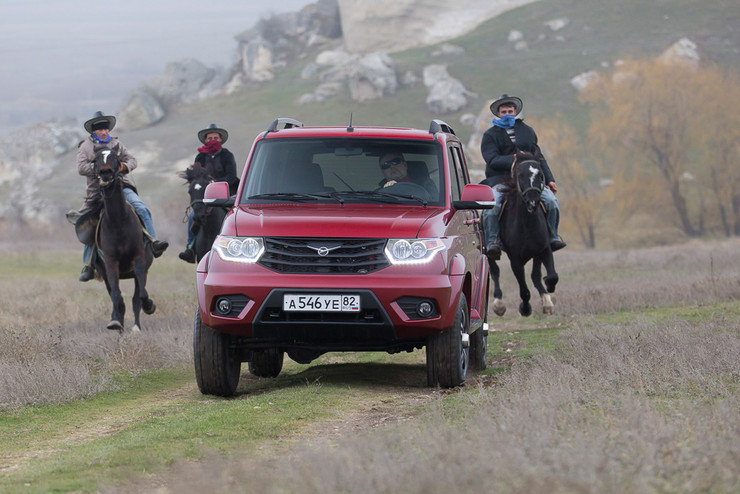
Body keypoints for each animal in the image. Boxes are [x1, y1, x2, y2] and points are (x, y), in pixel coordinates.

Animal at [92, 146, 156, 332]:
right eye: (96, 159)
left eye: (116, 157)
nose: (105, 172)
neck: (118, 221)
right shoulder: (110, 263)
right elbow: (117, 296)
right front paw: (115, 322)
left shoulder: (139, 260)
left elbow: (141, 296)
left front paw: (149, 306)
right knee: (117, 298)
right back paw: (118, 325)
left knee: (136, 298)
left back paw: (136, 326)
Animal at [488, 151, 556, 316]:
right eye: (520, 175)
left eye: (540, 174)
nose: (533, 201)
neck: (526, 224)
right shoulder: (515, 259)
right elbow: (524, 291)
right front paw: (525, 308)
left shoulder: (544, 249)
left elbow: (549, 276)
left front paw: (548, 293)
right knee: (494, 270)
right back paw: (499, 304)